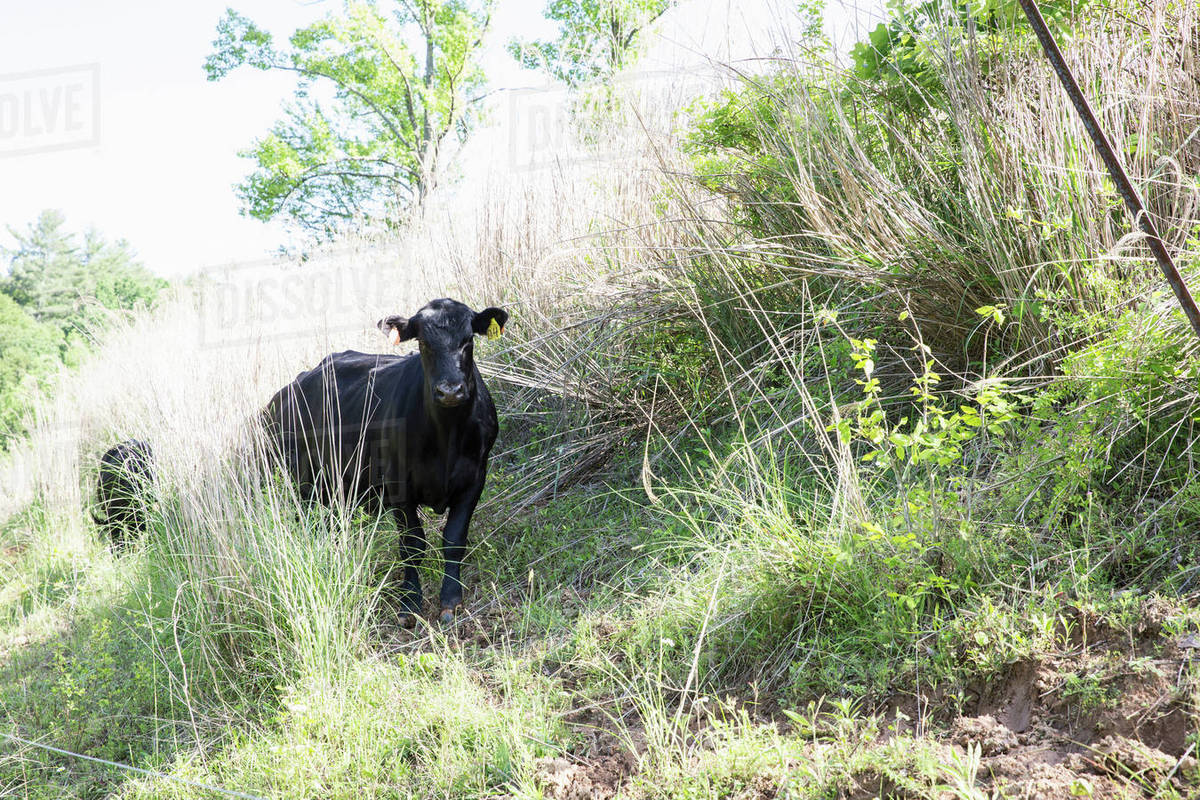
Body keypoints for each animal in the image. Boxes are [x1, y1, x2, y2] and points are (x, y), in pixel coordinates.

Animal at [261, 298, 508, 626]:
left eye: (468, 341)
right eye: (423, 343)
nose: (450, 391)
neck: (447, 436)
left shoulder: (474, 479)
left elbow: (454, 539)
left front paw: (450, 600)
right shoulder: (397, 485)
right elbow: (412, 545)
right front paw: (410, 603)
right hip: (300, 482)